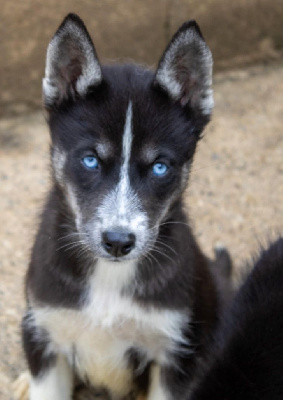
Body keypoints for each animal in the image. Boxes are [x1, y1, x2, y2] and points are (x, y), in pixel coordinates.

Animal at [20, 13, 224, 400]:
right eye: (90, 160)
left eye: (160, 167)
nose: (117, 242)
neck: (109, 278)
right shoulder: (46, 335)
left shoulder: (175, 354)